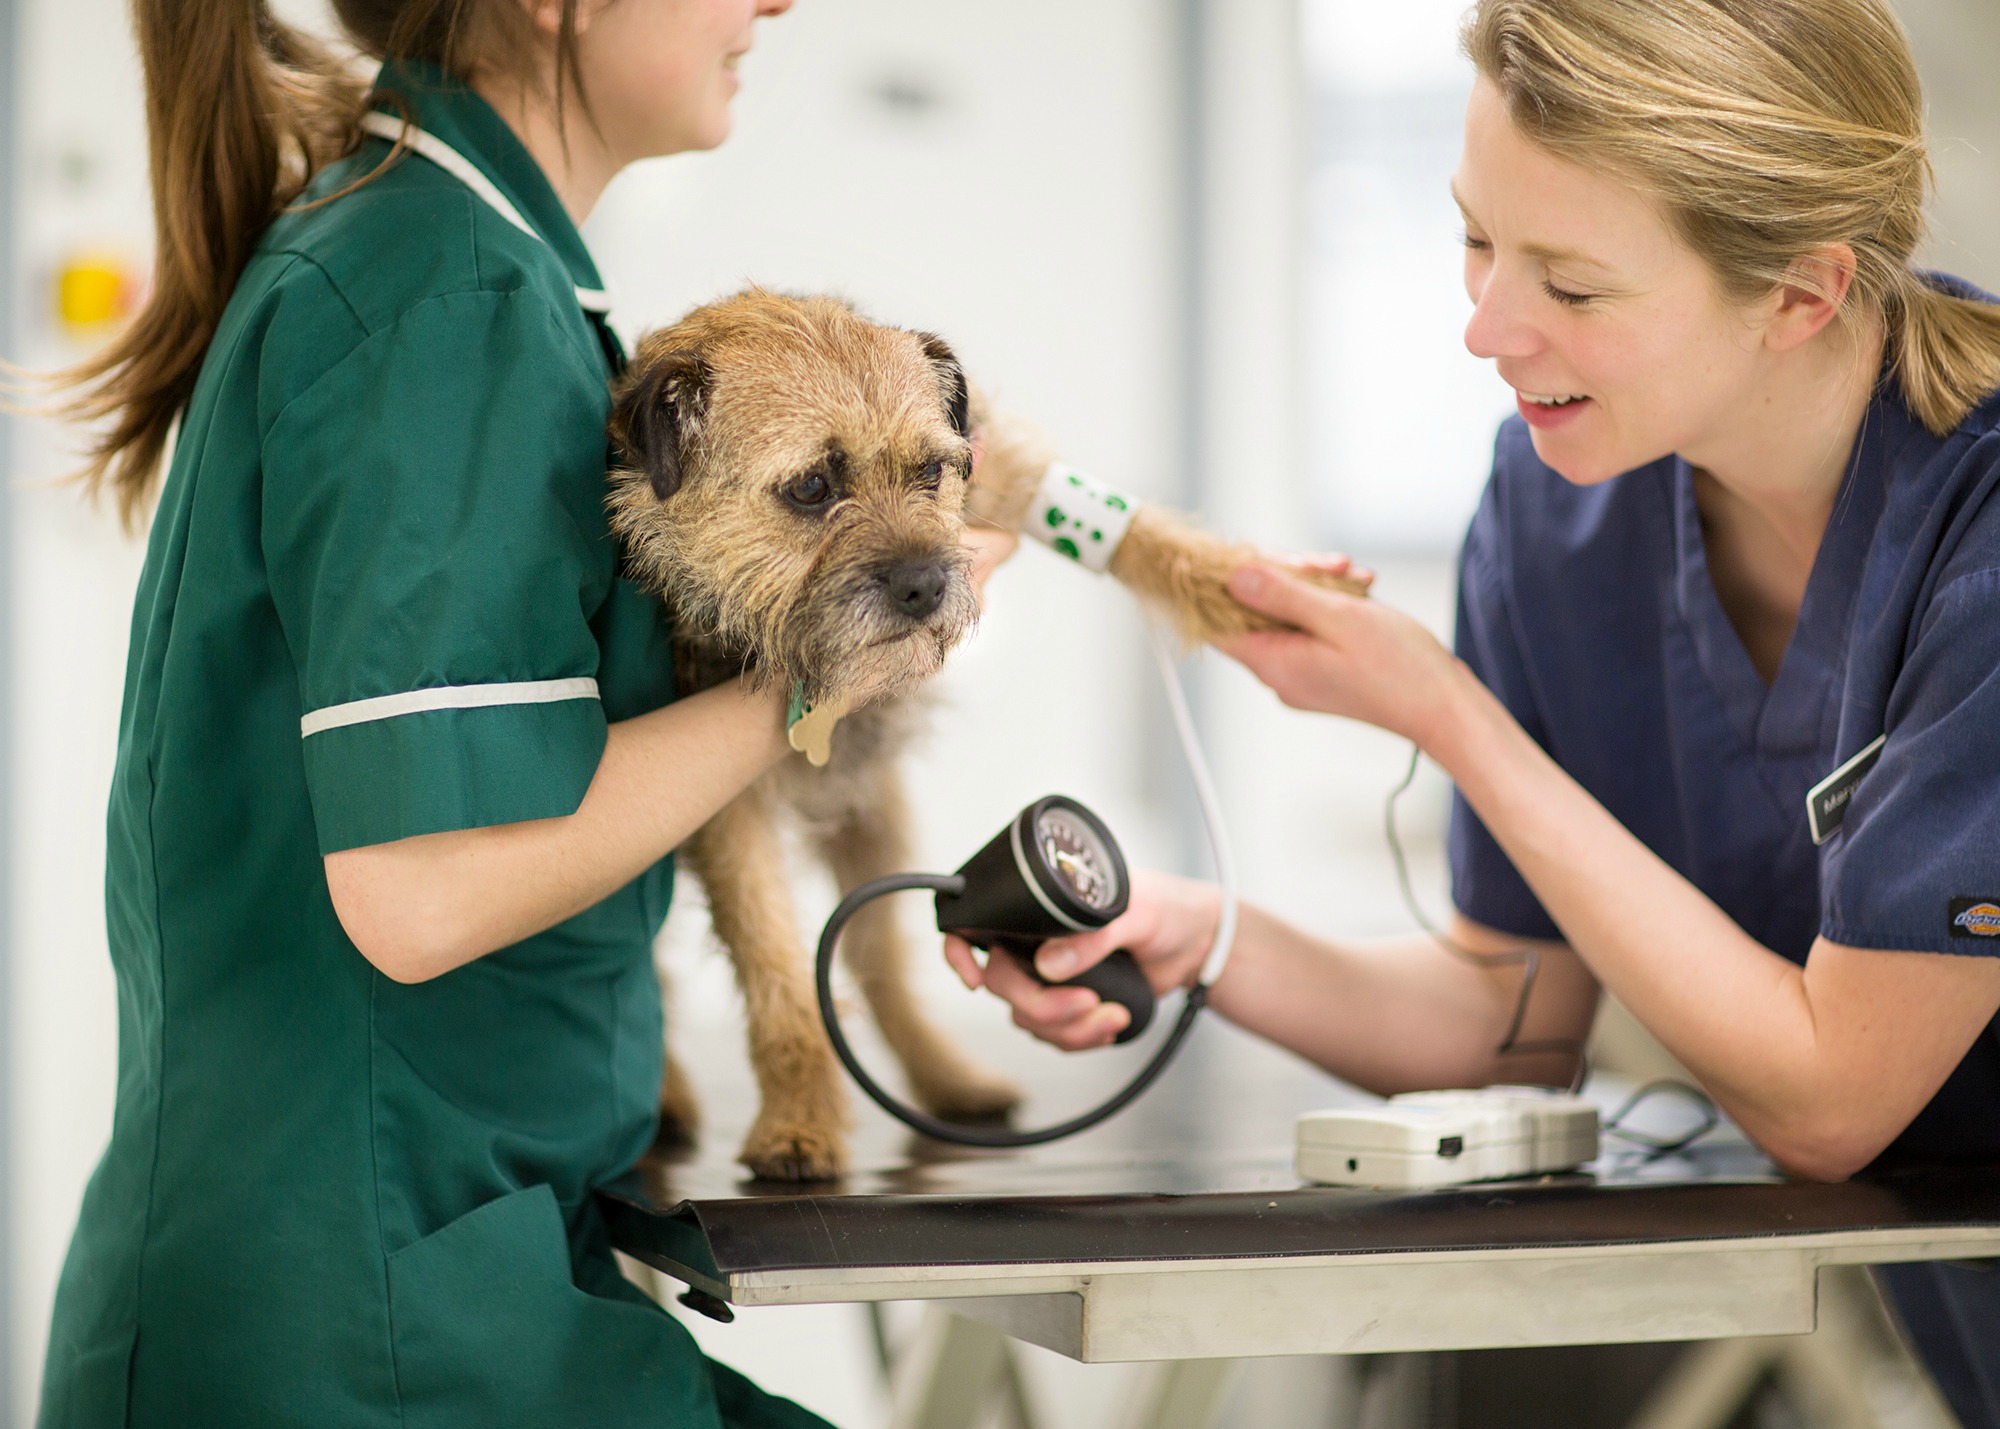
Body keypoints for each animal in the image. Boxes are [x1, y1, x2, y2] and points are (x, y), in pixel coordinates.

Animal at [610, 288, 1364, 1181]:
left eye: (930, 472)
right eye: (811, 486)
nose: (925, 584)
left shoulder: (996, 466)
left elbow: (1140, 534)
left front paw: (1266, 594)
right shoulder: (730, 814)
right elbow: (777, 973)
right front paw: (798, 1122)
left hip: (878, 816)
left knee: (881, 961)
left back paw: (947, 1080)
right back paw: (671, 1096)